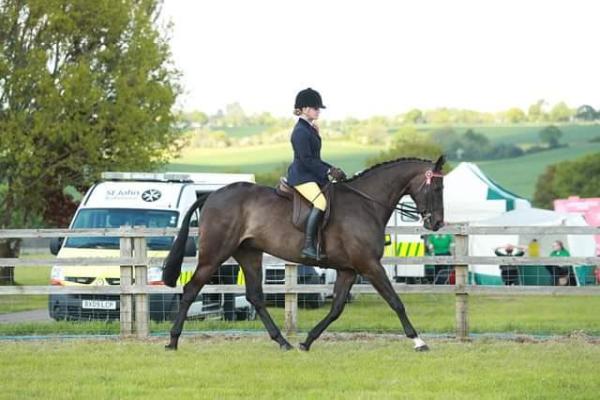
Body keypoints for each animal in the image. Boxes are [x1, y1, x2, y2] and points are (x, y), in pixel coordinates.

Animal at [162, 155, 442, 350]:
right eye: (437, 189)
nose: (437, 223)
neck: (366, 204)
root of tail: (211, 196)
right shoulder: (369, 265)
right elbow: (396, 302)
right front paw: (418, 341)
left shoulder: (349, 270)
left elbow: (336, 308)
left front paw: (307, 341)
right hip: (215, 254)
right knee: (191, 289)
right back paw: (173, 342)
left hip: (249, 254)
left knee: (255, 297)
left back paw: (283, 342)